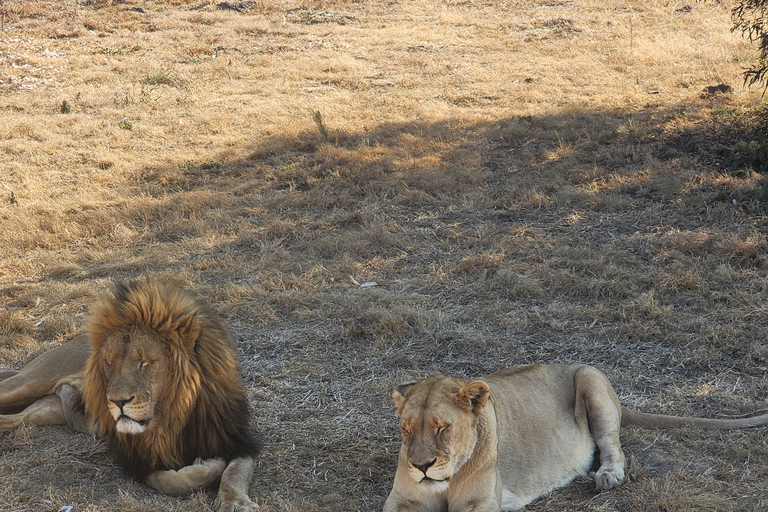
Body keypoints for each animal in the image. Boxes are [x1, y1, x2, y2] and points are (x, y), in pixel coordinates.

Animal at [0, 278, 262, 512]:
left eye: (144, 362)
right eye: (109, 363)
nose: (117, 401)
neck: (174, 415)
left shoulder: (237, 437)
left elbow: (236, 471)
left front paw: (234, 501)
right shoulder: (137, 459)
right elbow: (170, 481)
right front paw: (208, 466)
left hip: (48, 410)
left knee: (13, 419)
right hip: (29, 383)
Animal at [383, 364, 768, 512]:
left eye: (442, 428)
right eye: (406, 430)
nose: (421, 466)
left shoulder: (478, 503)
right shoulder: (405, 500)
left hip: (590, 378)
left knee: (614, 448)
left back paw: (607, 476)